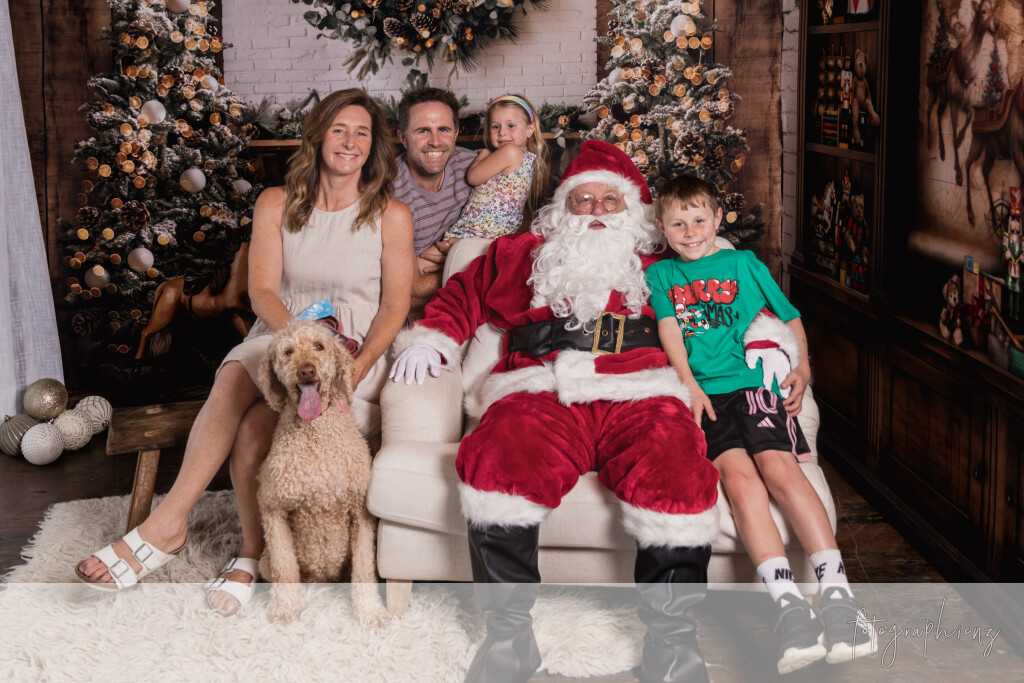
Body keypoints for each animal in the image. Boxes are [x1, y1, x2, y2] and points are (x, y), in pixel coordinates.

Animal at [256, 320, 389, 627]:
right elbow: (285, 568)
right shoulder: (272, 508)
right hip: (264, 559)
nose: (306, 370)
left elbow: (364, 570)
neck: (314, 430)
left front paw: (370, 612)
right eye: (288, 352)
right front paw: (284, 609)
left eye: (319, 346)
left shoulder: (361, 512)